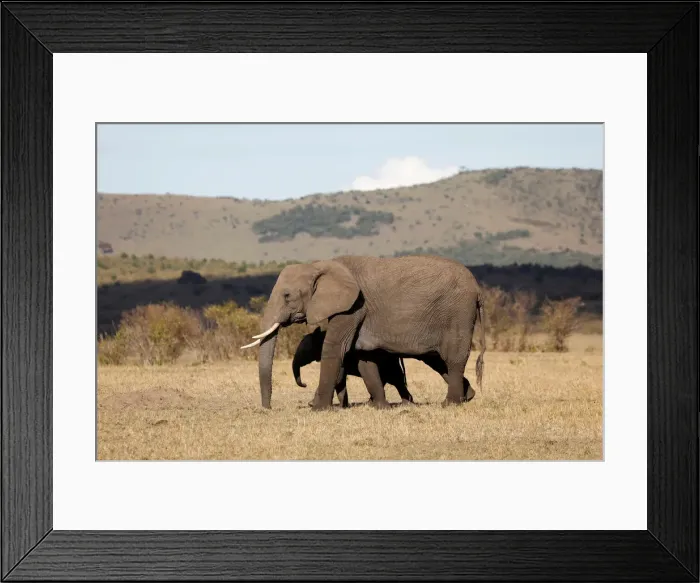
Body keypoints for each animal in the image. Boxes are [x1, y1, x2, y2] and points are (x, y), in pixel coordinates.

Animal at [240, 254, 486, 411]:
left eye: (287, 296)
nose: (267, 409)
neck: (320, 265)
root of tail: (478, 289)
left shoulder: (352, 306)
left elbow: (335, 349)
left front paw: (318, 409)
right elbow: (364, 358)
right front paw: (378, 407)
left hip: (458, 312)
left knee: (453, 357)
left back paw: (450, 404)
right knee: (436, 360)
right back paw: (467, 397)